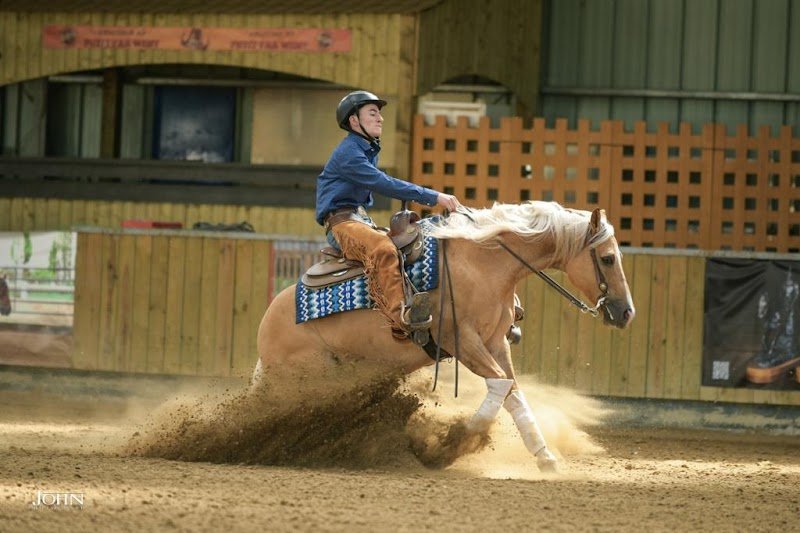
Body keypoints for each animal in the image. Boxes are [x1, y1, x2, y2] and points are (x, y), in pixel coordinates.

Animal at [251, 201, 635, 472]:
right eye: (608, 258)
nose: (627, 313)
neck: (484, 265)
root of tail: (268, 324)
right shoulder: (463, 342)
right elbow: (499, 385)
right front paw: (457, 440)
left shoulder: (495, 343)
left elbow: (512, 392)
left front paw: (545, 457)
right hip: (310, 378)